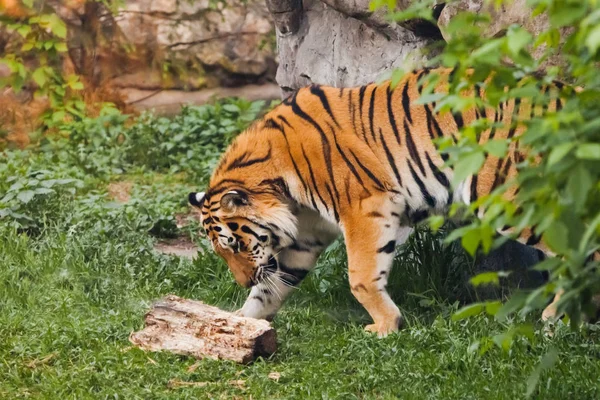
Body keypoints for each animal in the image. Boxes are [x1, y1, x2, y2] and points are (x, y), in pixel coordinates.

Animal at [189, 67, 592, 336]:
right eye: (223, 251)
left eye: (235, 245)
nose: (241, 281)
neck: (281, 187)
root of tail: (569, 94)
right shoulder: (307, 236)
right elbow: (270, 288)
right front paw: (240, 323)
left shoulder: (365, 206)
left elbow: (361, 276)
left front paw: (385, 326)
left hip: (508, 194)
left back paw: (558, 318)